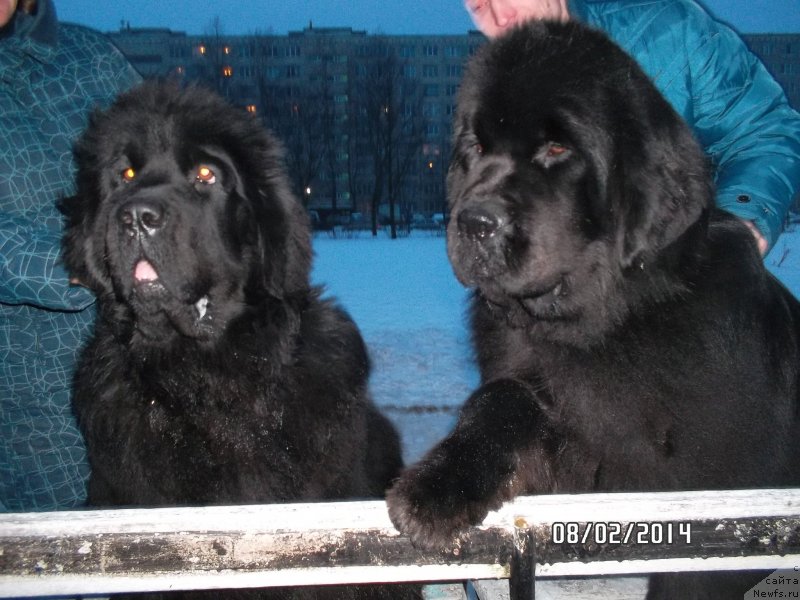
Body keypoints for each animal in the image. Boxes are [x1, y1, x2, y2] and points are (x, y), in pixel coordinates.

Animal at [388, 19, 800, 600]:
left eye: (558, 147)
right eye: (476, 145)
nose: (474, 222)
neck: (606, 322)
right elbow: (505, 396)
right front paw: (438, 484)